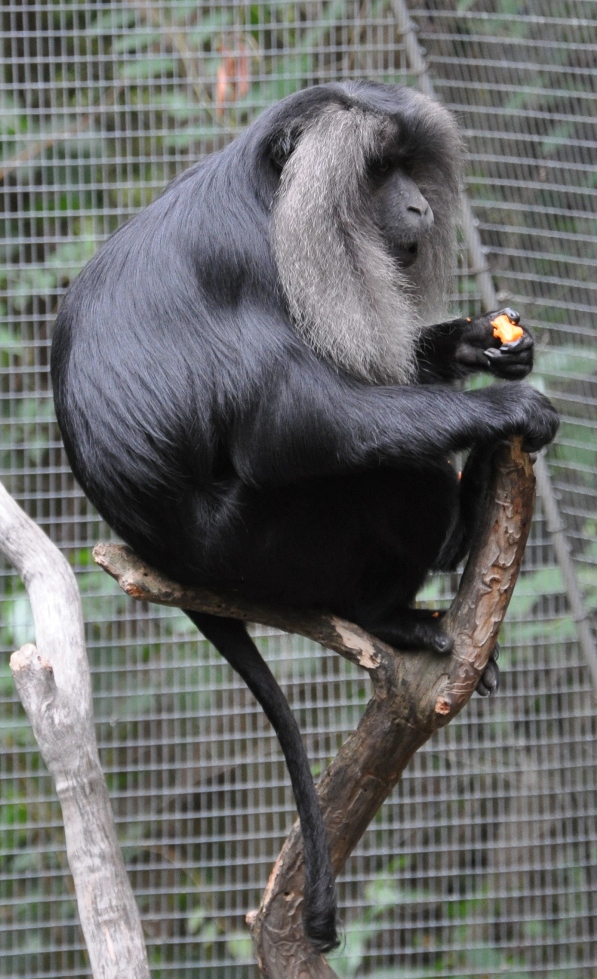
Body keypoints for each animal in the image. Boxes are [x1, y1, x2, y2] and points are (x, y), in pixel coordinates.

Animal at [51, 81, 559, 953]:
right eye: (377, 172)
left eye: (409, 169)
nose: (420, 206)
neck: (270, 200)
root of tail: (160, 556)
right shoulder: (250, 261)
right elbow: (287, 427)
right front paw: (505, 406)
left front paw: (476, 343)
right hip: (269, 546)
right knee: (392, 471)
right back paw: (399, 604)